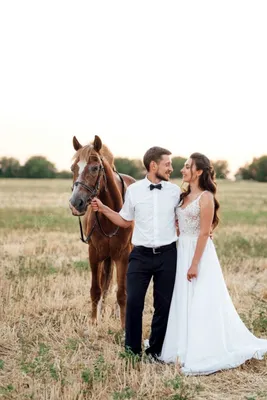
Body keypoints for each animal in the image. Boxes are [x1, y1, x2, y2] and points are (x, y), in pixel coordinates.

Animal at [69, 134, 136, 328]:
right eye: (73, 168)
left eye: (95, 168)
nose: (75, 203)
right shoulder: (94, 253)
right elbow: (96, 289)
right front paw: (93, 321)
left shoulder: (123, 255)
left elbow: (122, 292)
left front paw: (123, 325)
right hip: (106, 257)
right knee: (105, 284)